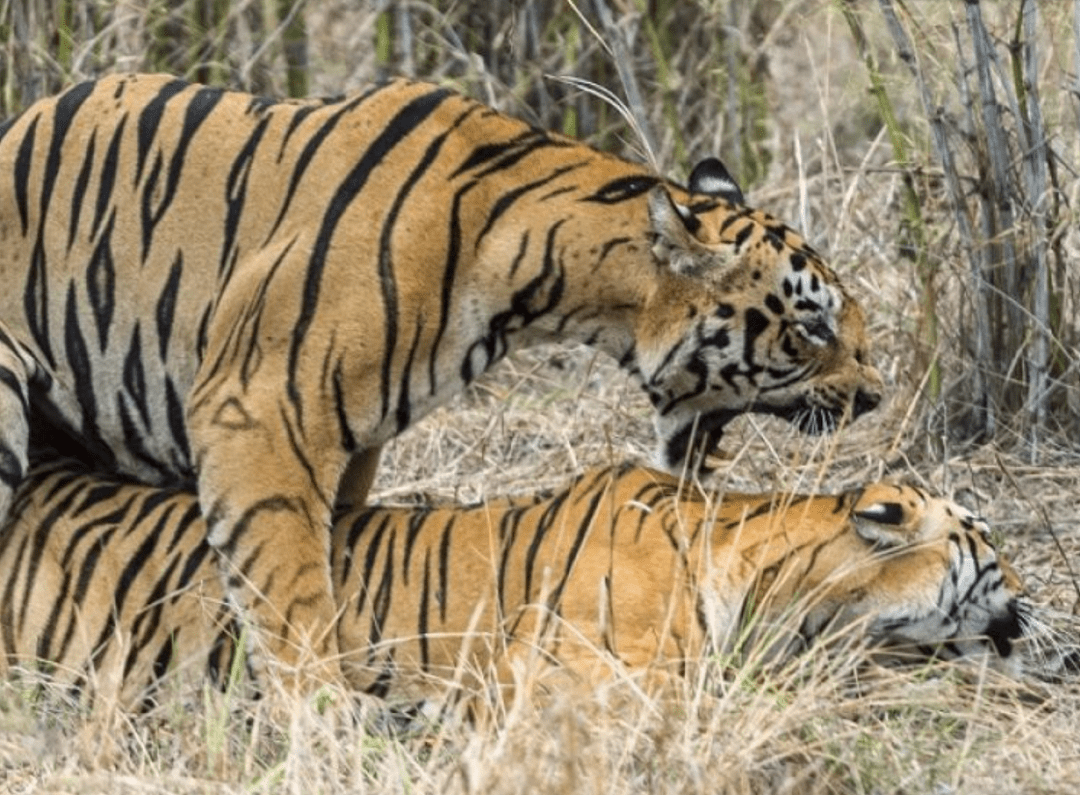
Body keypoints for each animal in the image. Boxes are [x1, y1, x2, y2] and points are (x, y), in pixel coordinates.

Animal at [0, 77, 881, 691]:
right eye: (813, 324)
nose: (874, 393)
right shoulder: (258, 412)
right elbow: (288, 591)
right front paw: (322, 722)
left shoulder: (349, 438)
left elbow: (338, 560)